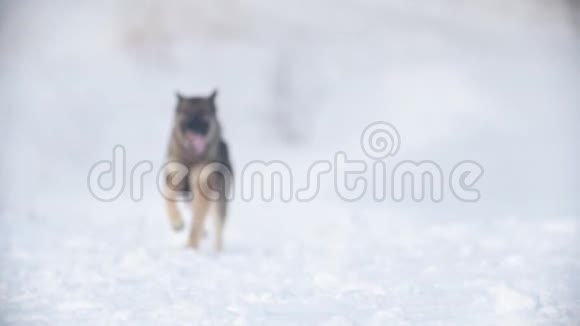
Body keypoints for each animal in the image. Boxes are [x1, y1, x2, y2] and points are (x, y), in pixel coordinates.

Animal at [163, 90, 231, 251]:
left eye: (203, 114)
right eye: (187, 114)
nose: (196, 129)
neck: (191, 157)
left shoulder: (203, 185)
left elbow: (197, 221)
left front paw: (191, 246)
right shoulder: (172, 177)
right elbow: (168, 199)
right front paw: (177, 222)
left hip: (218, 202)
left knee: (216, 227)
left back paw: (217, 251)